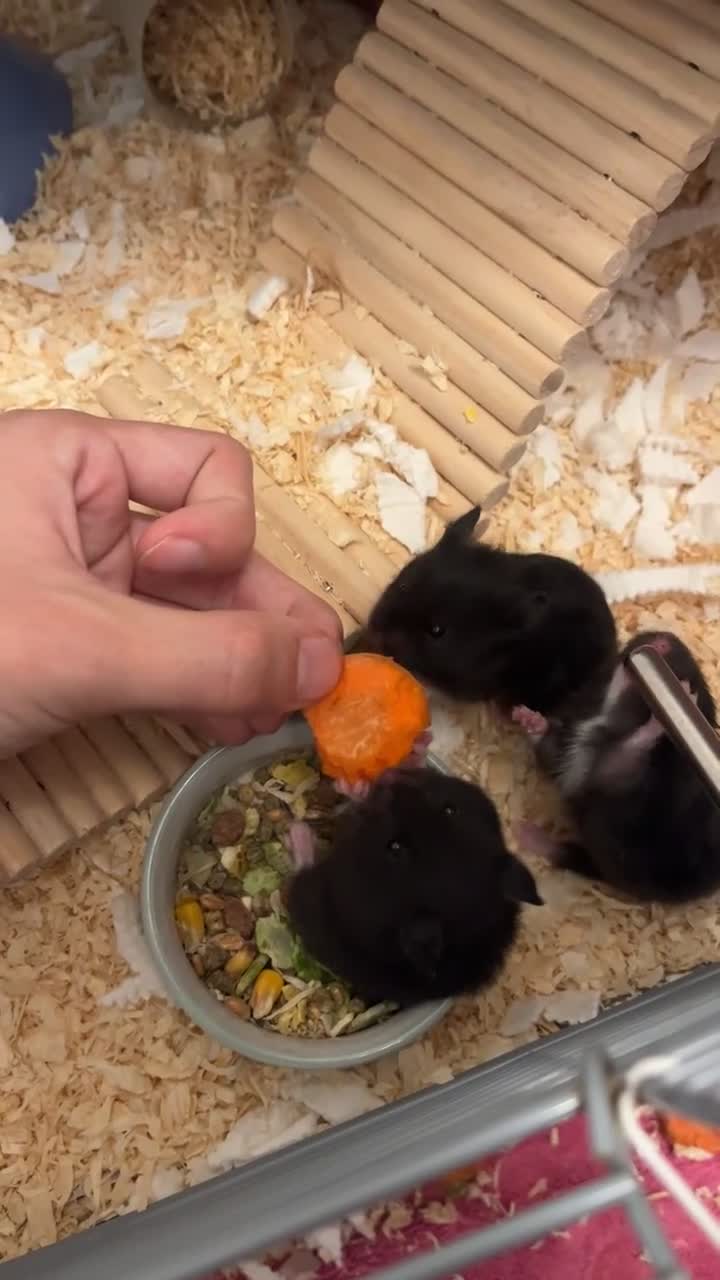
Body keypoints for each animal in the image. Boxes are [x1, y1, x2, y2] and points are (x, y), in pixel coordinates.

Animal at [513, 630, 720, 904]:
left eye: (695, 678)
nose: (662, 639)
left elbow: (629, 750)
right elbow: (550, 747)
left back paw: (526, 833)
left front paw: (682, 696)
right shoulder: (570, 752)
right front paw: (525, 716)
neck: (609, 712)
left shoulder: (615, 776)